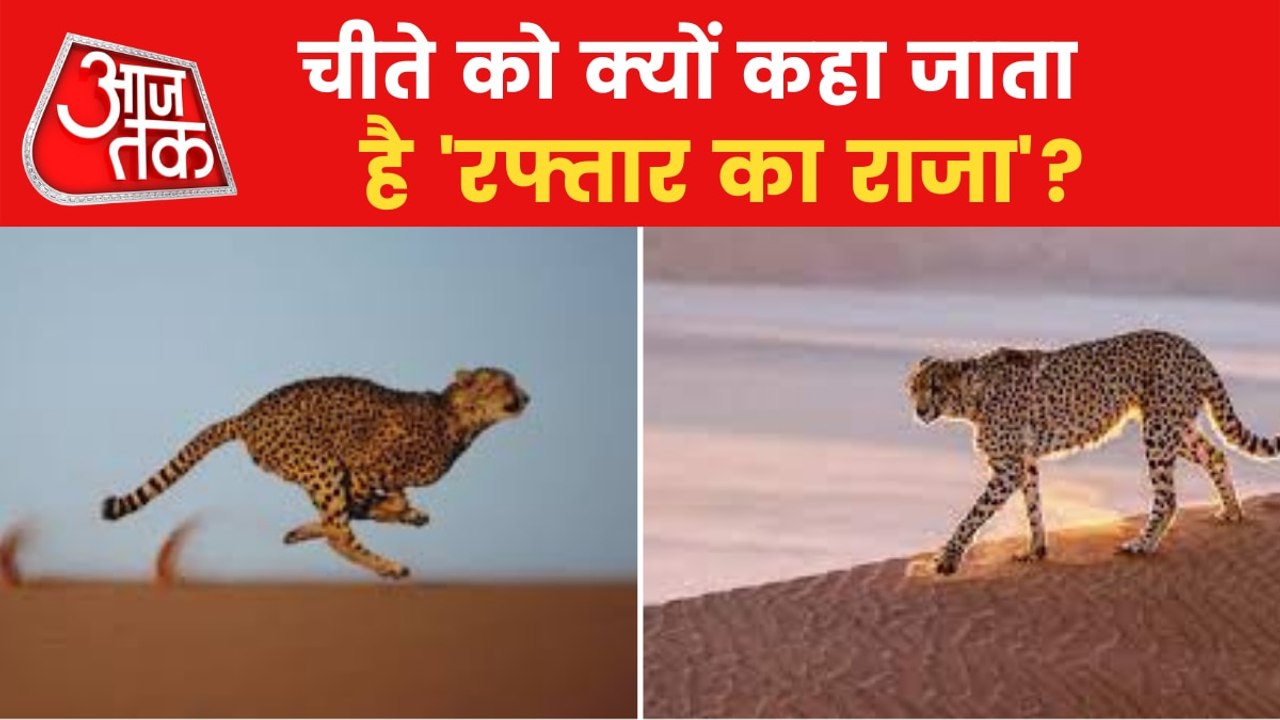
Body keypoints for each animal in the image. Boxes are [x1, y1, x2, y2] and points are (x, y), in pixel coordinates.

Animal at [102, 367, 530, 579]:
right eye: (504, 382)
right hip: (320, 464)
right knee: (339, 534)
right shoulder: (357, 469)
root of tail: (247, 413)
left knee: (337, 522)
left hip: (313, 468)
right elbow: (359, 511)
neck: (458, 417)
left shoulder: (356, 478)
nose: (526, 397)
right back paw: (390, 567)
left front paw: (407, 512)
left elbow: (378, 505)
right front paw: (399, 511)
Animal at [905, 329, 1276, 576]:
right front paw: (1036, 550)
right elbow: (1033, 506)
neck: (972, 397)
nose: (919, 411)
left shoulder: (1008, 468)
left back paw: (1142, 545)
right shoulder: (1025, 463)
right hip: (1174, 427)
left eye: (935, 388)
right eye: (913, 388)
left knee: (1167, 497)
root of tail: (1186, 344)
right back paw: (1231, 511)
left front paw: (948, 558)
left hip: (1159, 430)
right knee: (1215, 455)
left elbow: (974, 514)